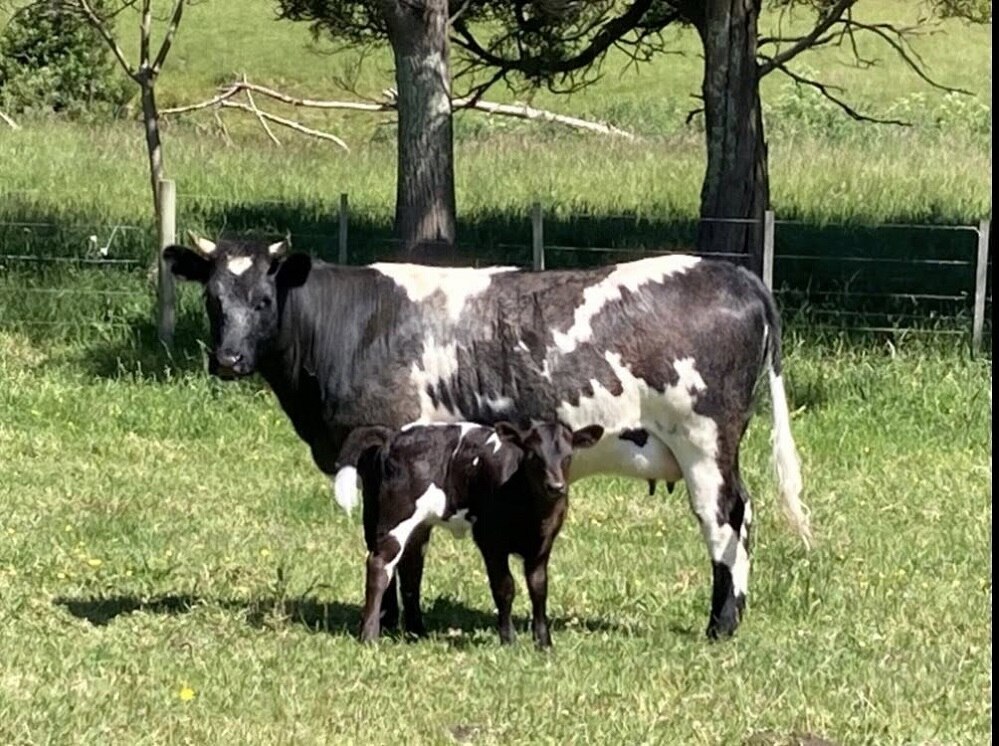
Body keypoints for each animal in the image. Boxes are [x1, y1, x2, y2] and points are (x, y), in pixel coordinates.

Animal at [344, 420, 603, 647]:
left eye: (568, 455)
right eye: (533, 455)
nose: (556, 486)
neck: (532, 514)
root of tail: (394, 436)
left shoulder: (542, 544)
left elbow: (538, 588)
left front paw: (544, 643)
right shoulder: (490, 540)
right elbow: (504, 588)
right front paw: (509, 640)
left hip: (411, 524)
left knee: (409, 570)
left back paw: (416, 632)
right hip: (396, 516)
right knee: (380, 565)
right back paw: (370, 636)